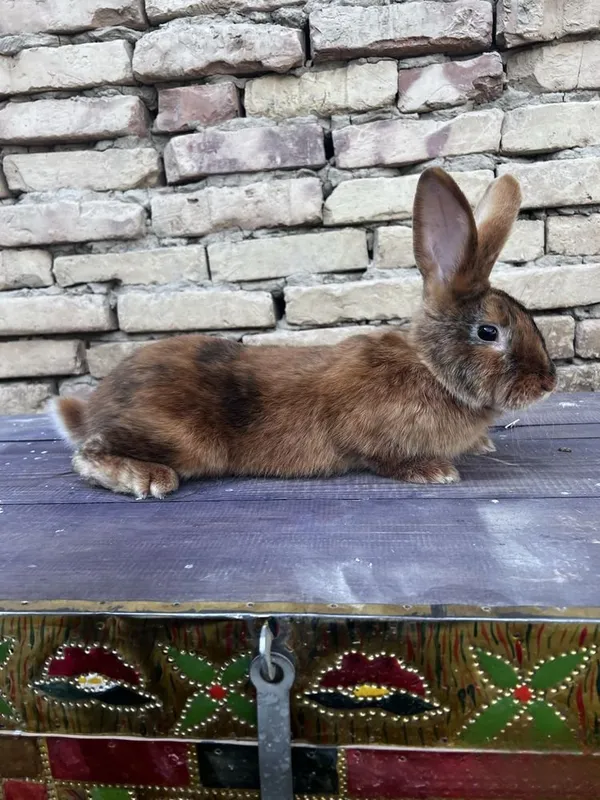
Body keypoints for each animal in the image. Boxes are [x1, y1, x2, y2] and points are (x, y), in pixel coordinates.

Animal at [52, 167, 556, 499]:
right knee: (87, 453)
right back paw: (147, 478)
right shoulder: (369, 433)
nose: (549, 383)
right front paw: (435, 472)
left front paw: (482, 445)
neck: (432, 370)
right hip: (181, 439)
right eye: (489, 332)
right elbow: (385, 458)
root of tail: (91, 408)